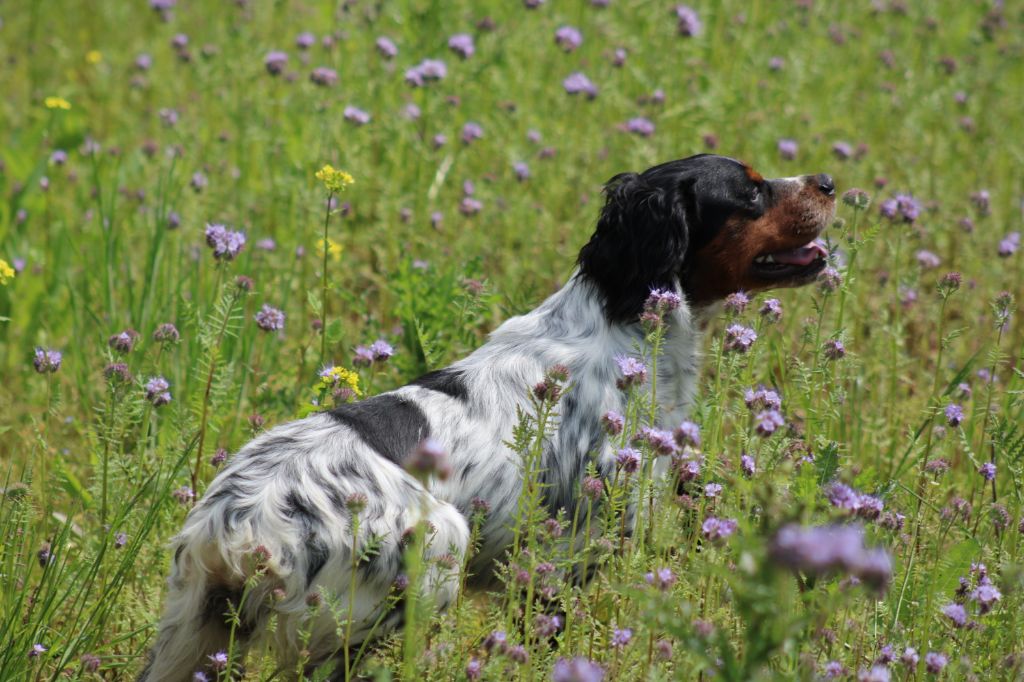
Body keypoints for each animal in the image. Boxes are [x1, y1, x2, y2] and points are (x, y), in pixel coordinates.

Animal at [142, 153, 831, 679]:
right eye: (751, 189)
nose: (828, 181)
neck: (621, 323)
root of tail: (235, 524)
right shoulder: (562, 561)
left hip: (191, 635)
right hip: (430, 554)